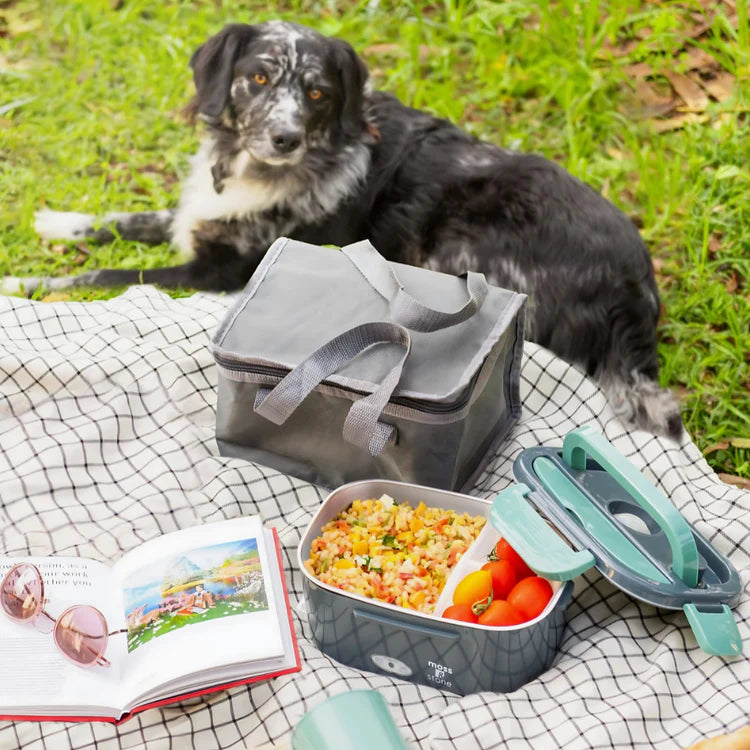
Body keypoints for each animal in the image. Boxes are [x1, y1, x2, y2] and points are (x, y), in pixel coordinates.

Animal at [1, 20, 680, 438]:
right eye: (258, 77)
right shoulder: (200, 217)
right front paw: (56, 223)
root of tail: (635, 291)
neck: (257, 166)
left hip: (461, 243)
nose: (284, 138)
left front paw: (25, 284)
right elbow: (122, 224)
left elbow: (108, 273)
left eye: (319, 93)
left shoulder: (218, 269)